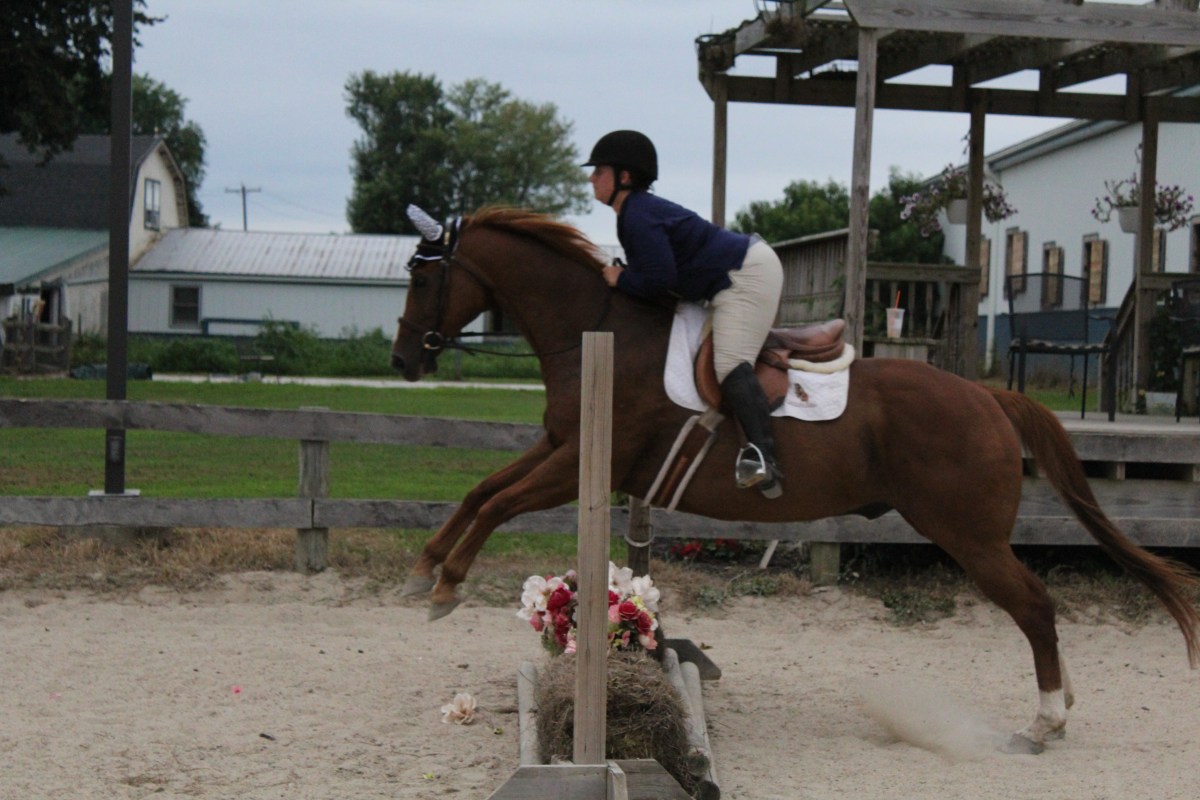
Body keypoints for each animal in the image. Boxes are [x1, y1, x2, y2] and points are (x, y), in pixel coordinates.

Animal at [391, 206, 1200, 752]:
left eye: (423, 274)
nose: (401, 361)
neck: (594, 328)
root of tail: (987, 396)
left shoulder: (582, 464)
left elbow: (498, 504)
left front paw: (446, 585)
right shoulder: (562, 447)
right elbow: (481, 493)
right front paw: (426, 571)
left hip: (969, 536)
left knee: (1034, 605)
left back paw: (1045, 719)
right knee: (1039, 611)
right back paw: (1062, 704)